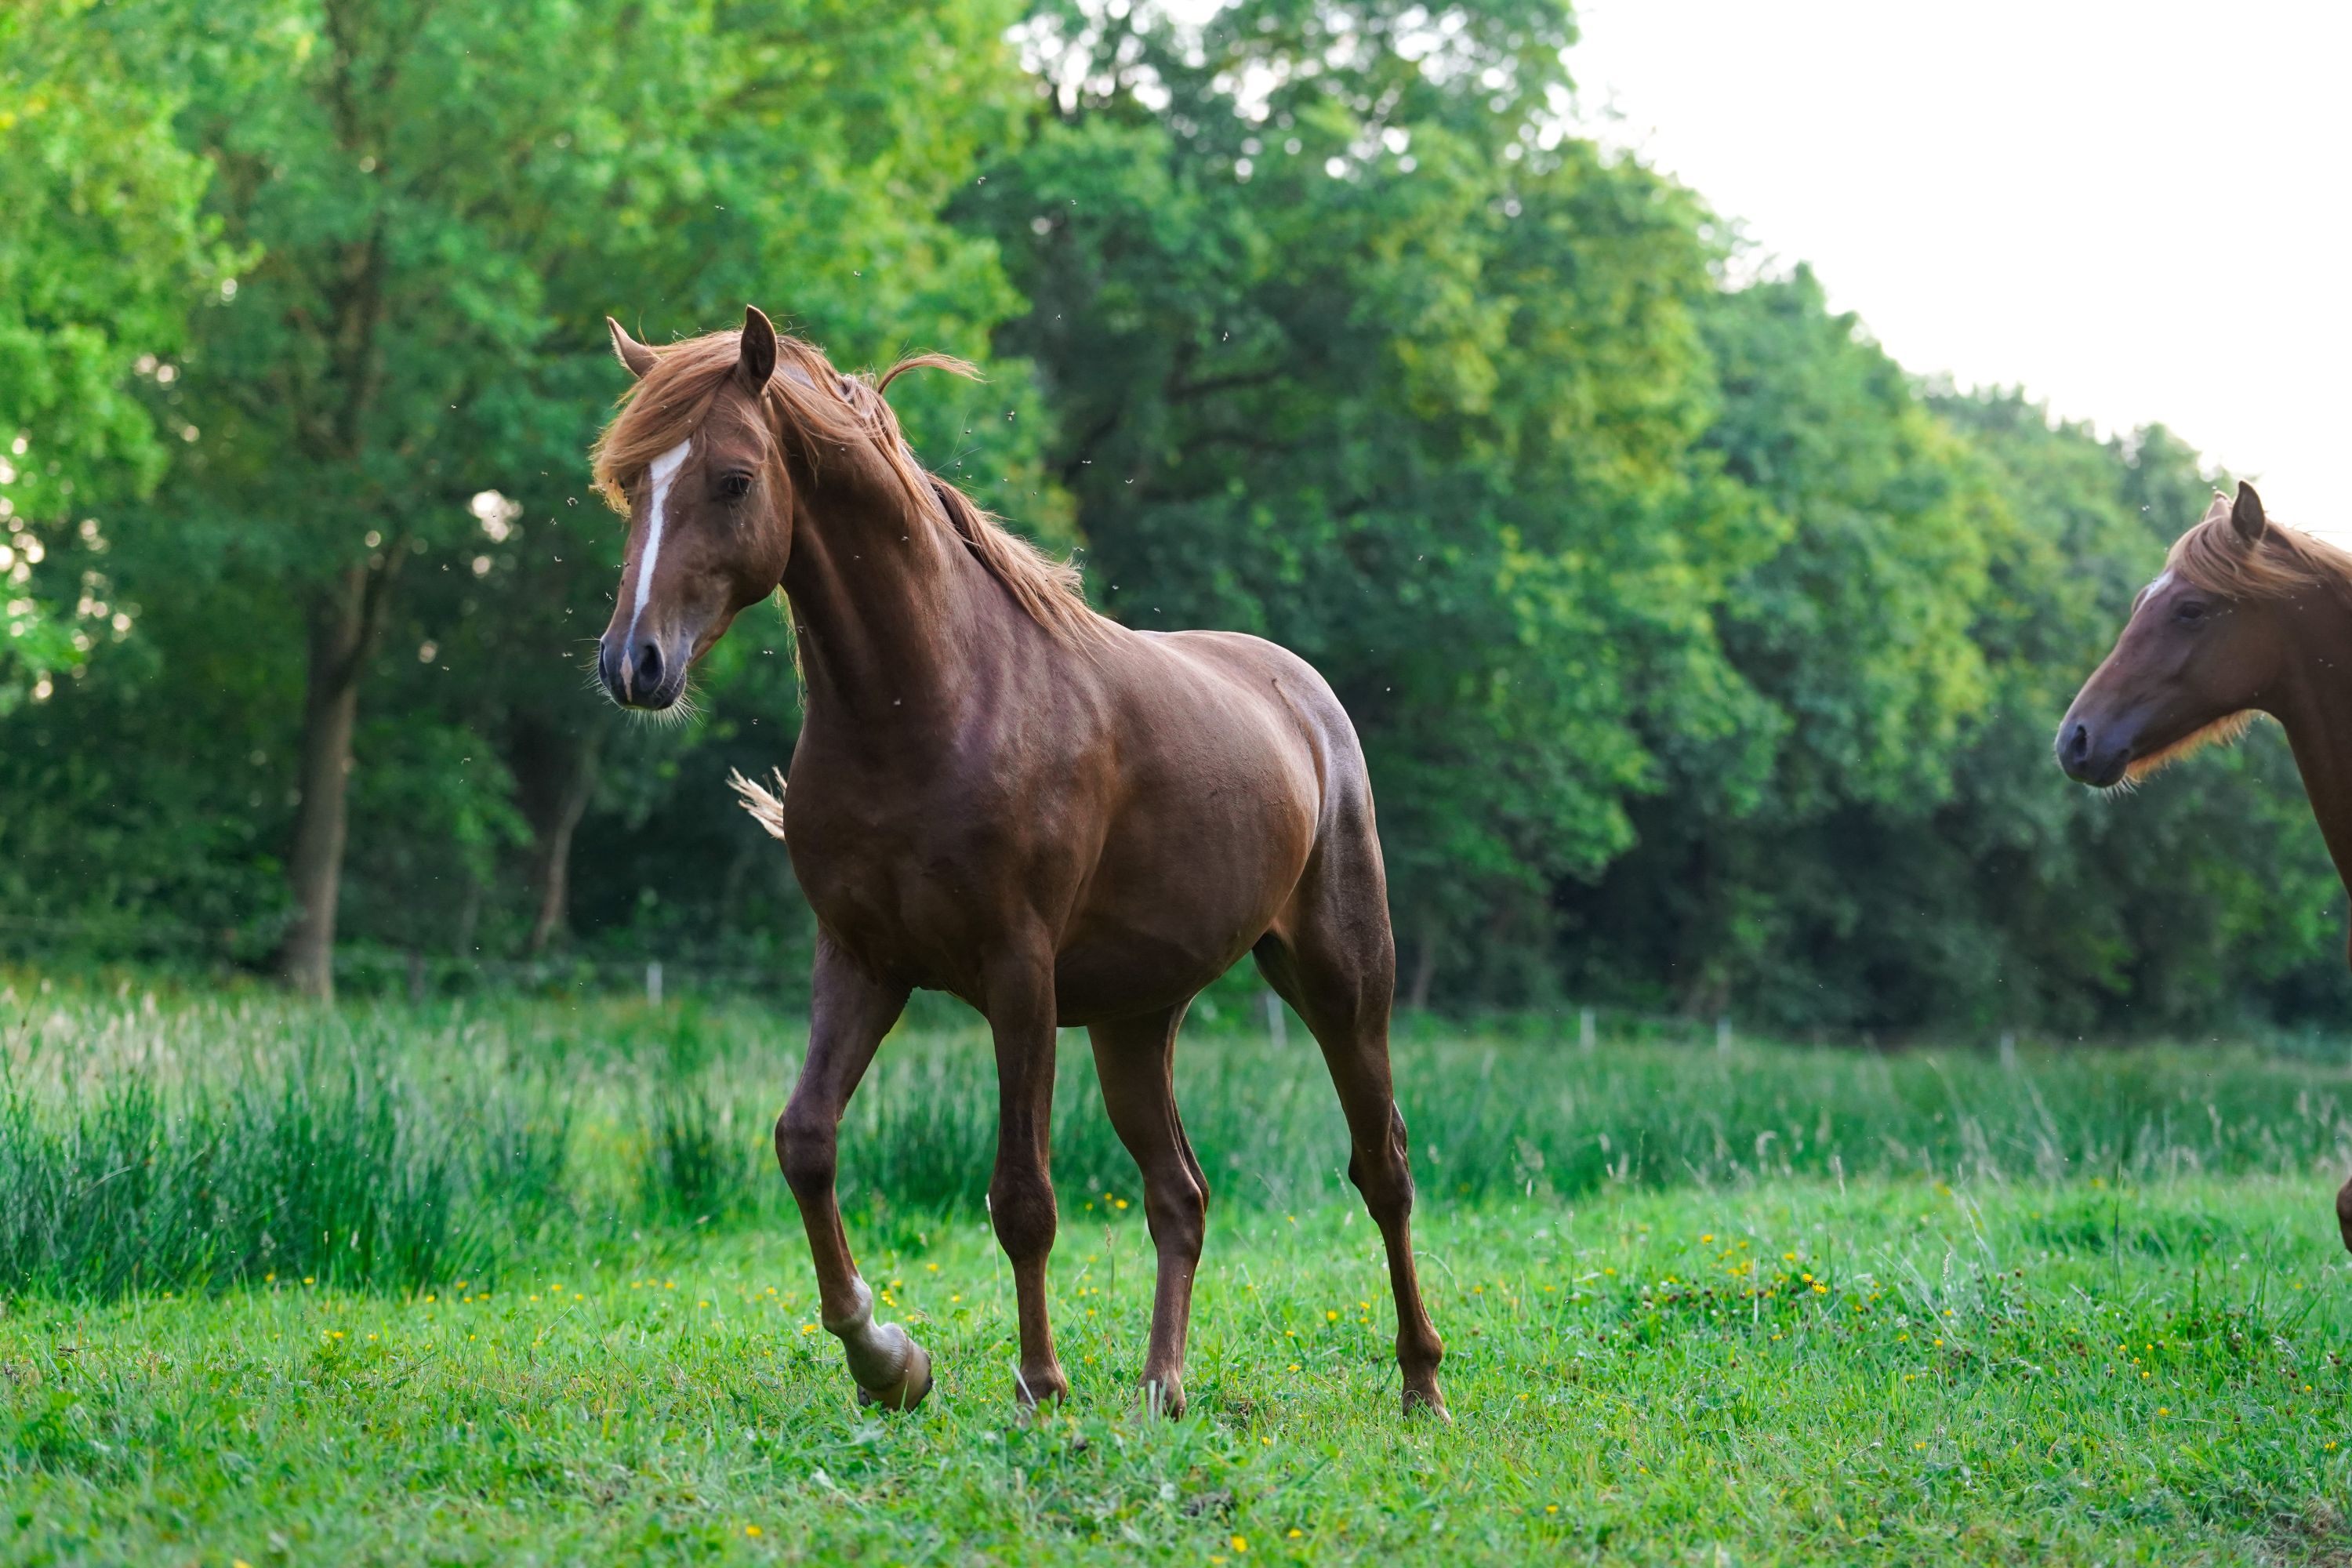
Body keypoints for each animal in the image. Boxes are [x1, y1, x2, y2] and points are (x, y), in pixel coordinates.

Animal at [587, 307, 1446, 1418]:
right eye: (627, 482)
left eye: (733, 479)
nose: (633, 664)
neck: (929, 704)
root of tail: (1307, 698)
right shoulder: (861, 961)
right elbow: (805, 1139)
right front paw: (886, 1357)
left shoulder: (1018, 972)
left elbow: (1023, 1196)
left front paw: (1039, 1382)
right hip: (1135, 1021)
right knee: (1180, 1193)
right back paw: (1162, 1388)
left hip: (1341, 983)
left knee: (1382, 1168)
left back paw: (1421, 1383)